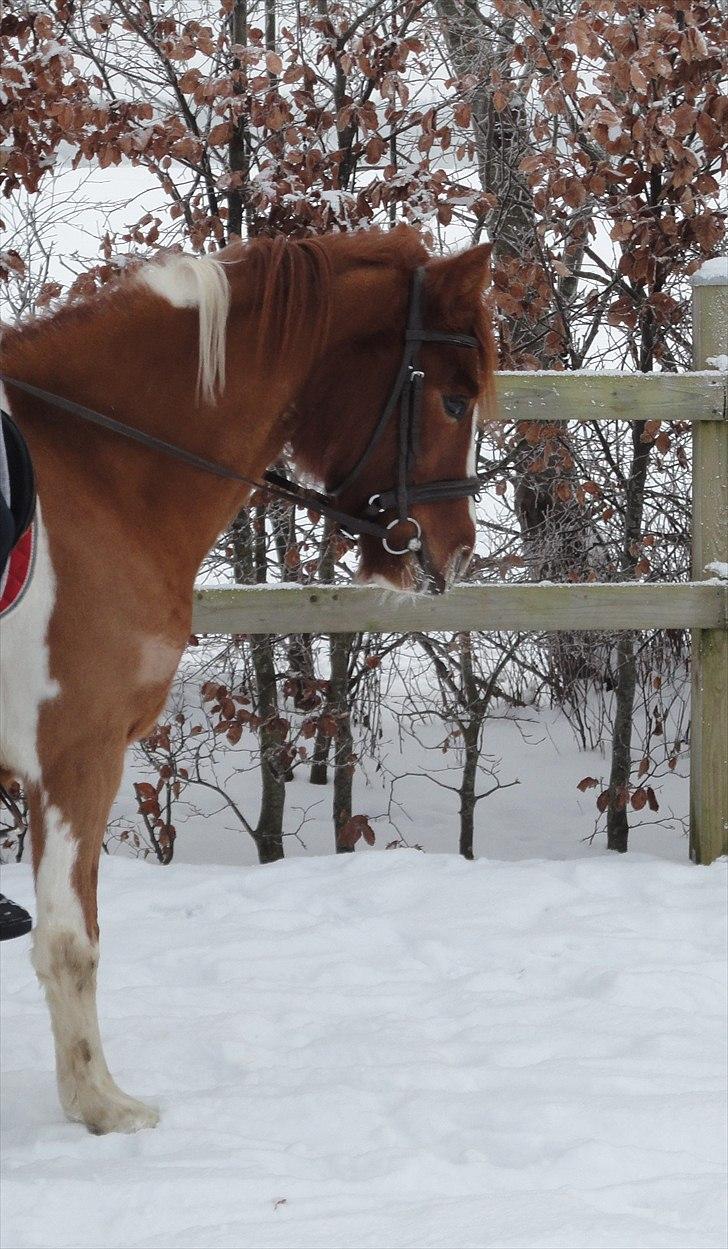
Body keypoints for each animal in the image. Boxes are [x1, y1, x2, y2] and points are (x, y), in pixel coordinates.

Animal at [0, 224, 494, 1134]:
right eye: (451, 400)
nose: (456, 549)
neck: (94, 466)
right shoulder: (74, 755)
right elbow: (71, 940)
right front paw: (101, 1103)